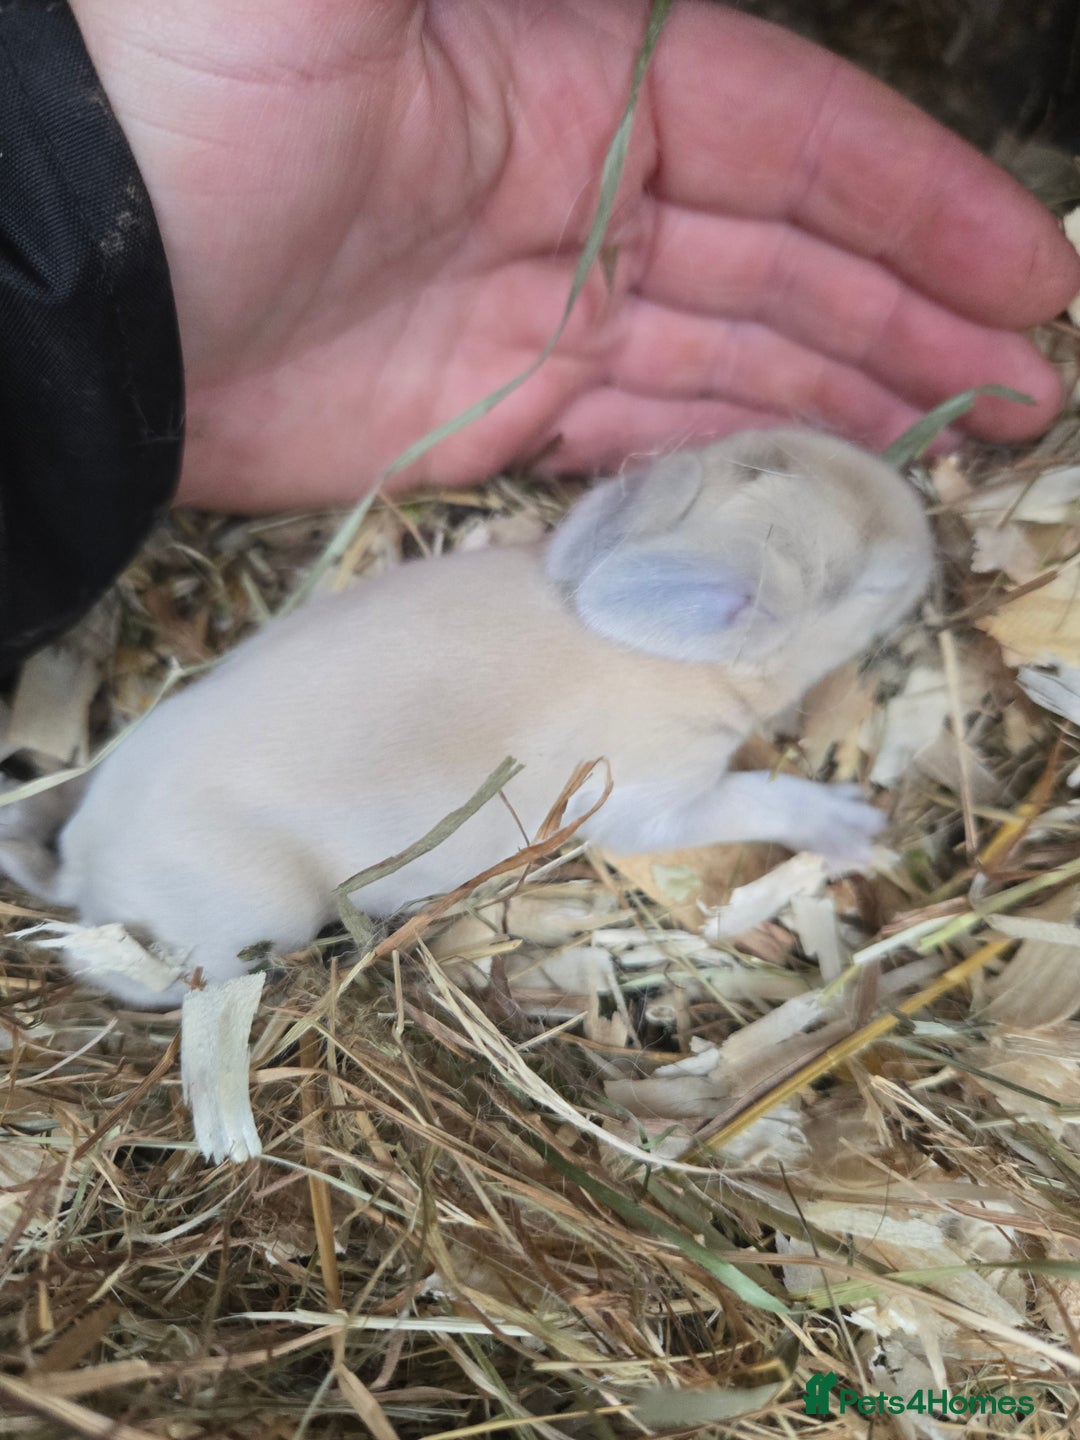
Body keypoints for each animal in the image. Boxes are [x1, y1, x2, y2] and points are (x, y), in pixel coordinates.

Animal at [1, 429, 933, 1008]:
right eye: (881, 586)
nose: (929, 534)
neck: (664, 652)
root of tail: (84, 865)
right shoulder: (656, 799)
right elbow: (754, 798)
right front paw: (851, 825)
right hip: (247, 925)